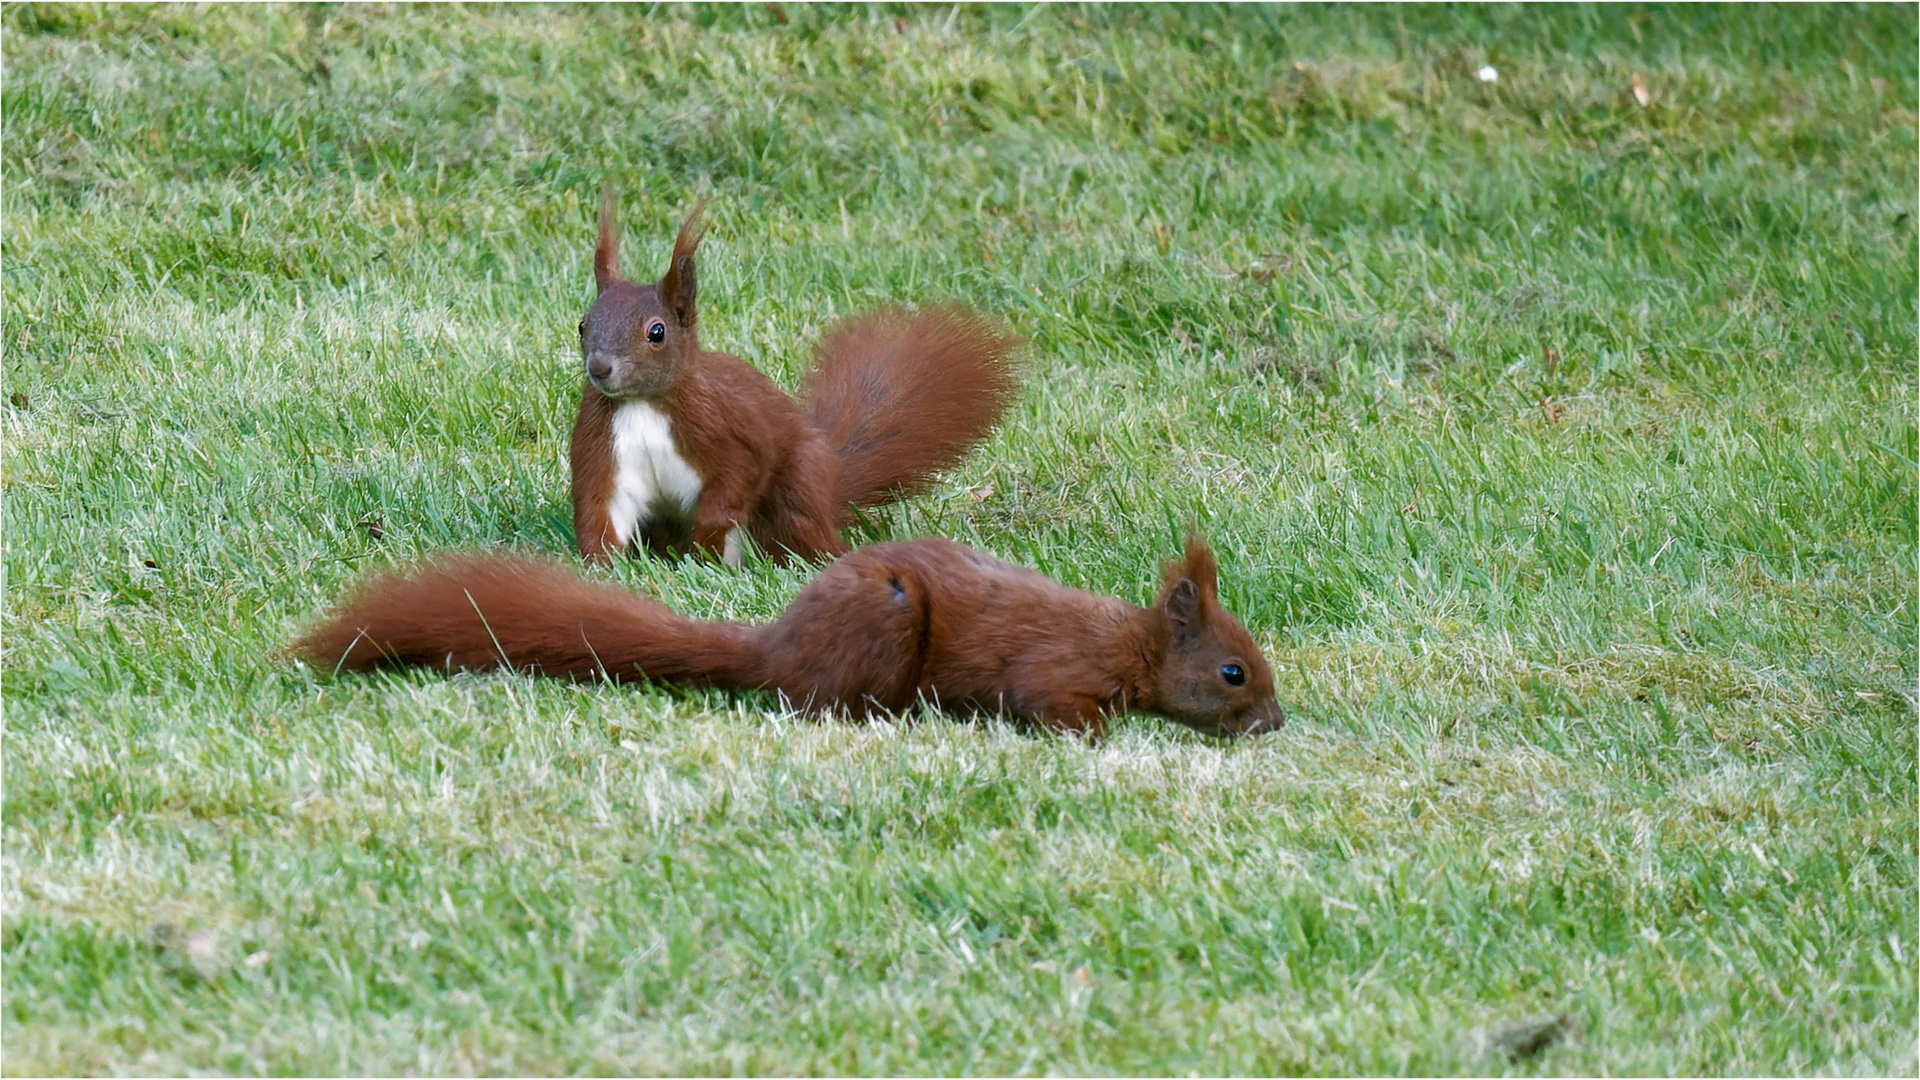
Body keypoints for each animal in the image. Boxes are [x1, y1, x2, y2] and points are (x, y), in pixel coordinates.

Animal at [568, 196, 1021, 564]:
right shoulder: (603, 442)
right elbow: (600, 505)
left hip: (797, 486)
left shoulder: (724, 425)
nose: (600, 368)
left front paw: (707, 541)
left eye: (657, 332)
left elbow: (741, 473)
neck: (644, 403)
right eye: (582, 324)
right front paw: (603, 568)